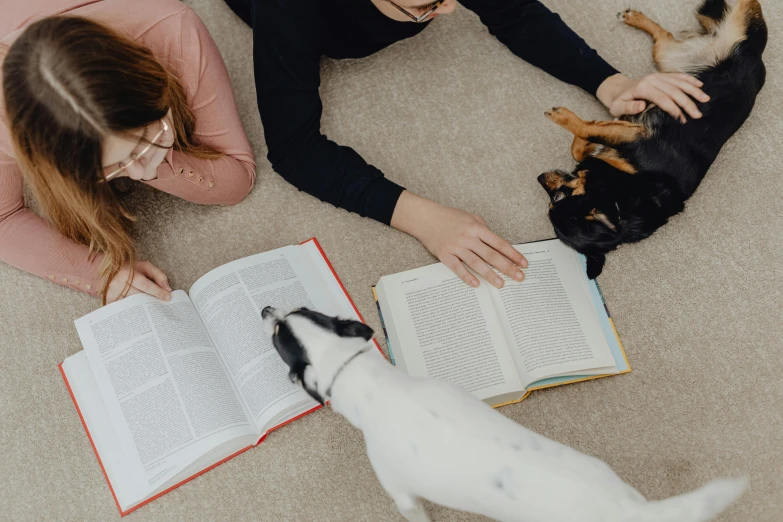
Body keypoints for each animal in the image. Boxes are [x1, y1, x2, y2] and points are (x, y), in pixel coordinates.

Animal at [540, 0, 764, 278]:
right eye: (550, 204)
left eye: (557, 199)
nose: (539, 178)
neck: (616, 195)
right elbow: (584, 142)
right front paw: (591, 143)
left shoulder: (635, 136)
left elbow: (587, 131)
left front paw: (565, 119)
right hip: (666, 54)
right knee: (664, 35)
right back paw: (634, 17)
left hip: (733, 32)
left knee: (748, 7)